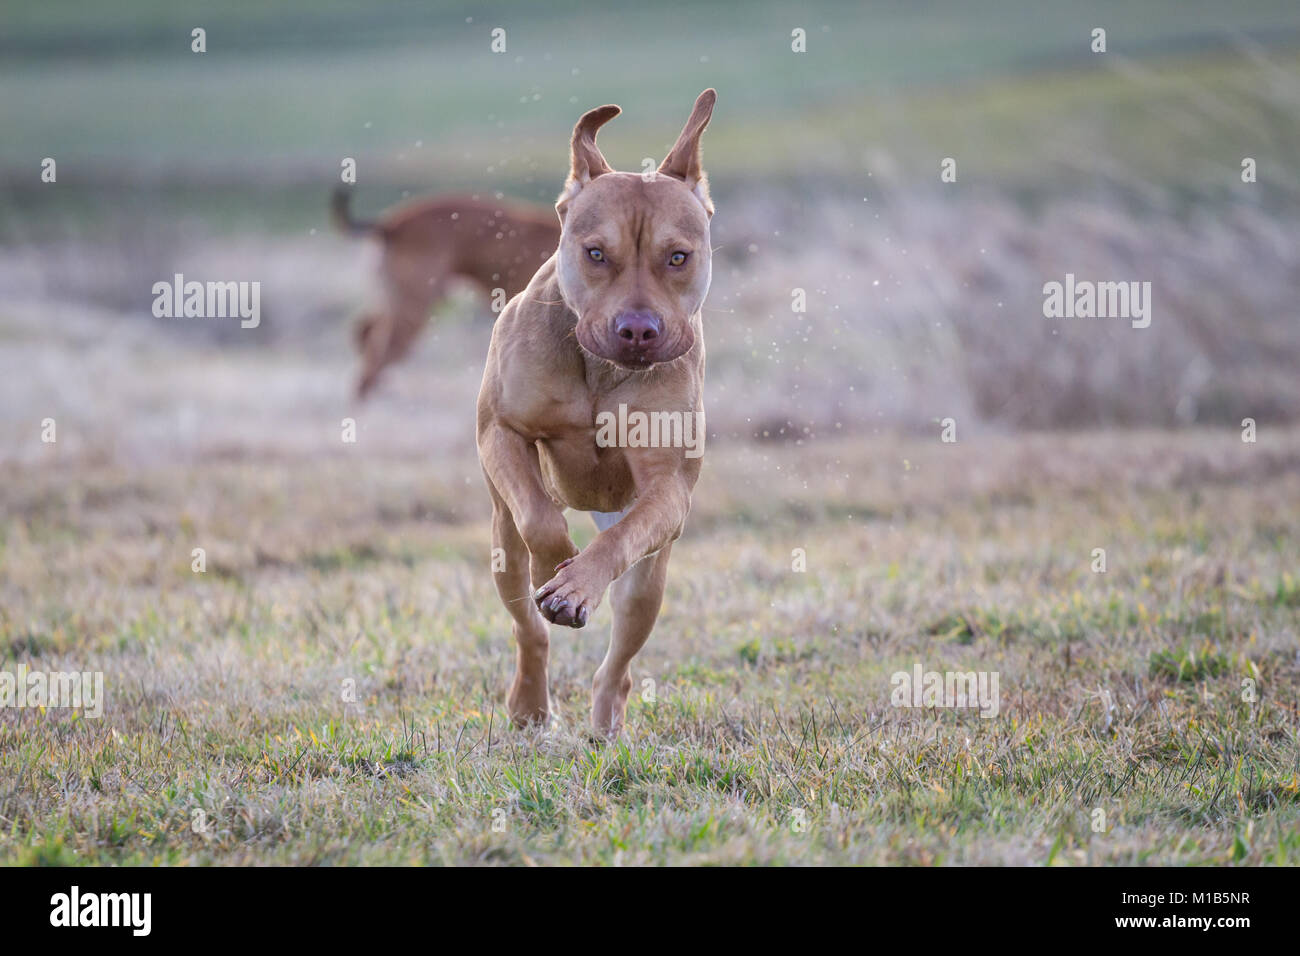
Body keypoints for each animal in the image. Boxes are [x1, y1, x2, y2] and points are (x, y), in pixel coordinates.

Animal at [478, 89, 717, 738]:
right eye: (595, 254)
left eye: (677, 256)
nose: (637, 330)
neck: (599, 369)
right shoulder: (500, 432)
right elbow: (539, 518)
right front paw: (555, 569)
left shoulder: (668, 490)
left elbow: (617, 543)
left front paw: (577, 583)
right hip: (501, 543)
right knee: (526, 625)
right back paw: (530, 704)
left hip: (649, 580)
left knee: (621, 655)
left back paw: (606, 723)